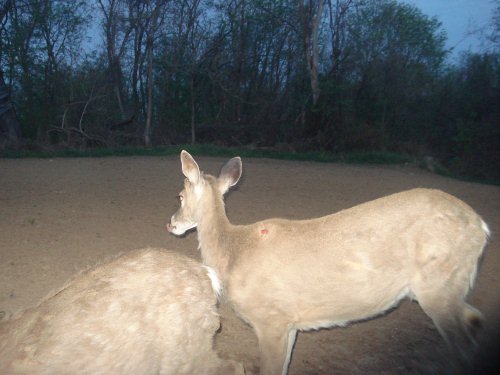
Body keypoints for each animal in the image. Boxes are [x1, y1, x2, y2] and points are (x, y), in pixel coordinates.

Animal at [166, 151, 490, 375]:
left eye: (179, 195)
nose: (171, 224)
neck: (233, 252)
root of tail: (482, 226)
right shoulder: (290, 323)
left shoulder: (271, 317)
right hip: (449, 286)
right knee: (475, 318)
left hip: (439, 283)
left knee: (463, 340)